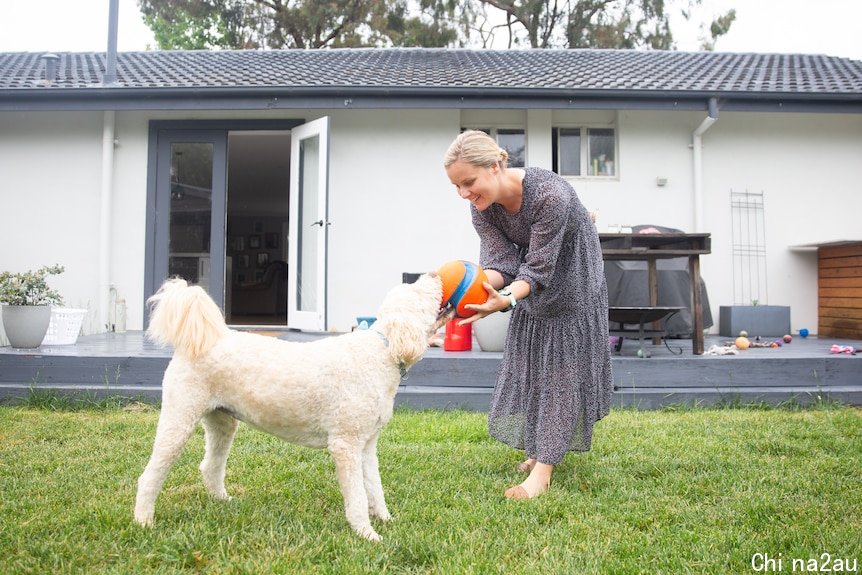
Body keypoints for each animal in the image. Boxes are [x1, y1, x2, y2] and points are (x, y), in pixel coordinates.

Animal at [135, 272, 452, 544]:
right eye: (418, 290)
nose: (434, 274)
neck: (381, 350)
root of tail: (203, 340)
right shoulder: (345, 444)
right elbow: (358, 495)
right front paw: (366, 533)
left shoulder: (366, 445)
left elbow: (374, 487)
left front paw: (385, 519)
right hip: (179, 418)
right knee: (150, 475)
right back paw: (143, 521)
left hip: (222, 421)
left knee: (210, 466)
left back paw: (223, 501)